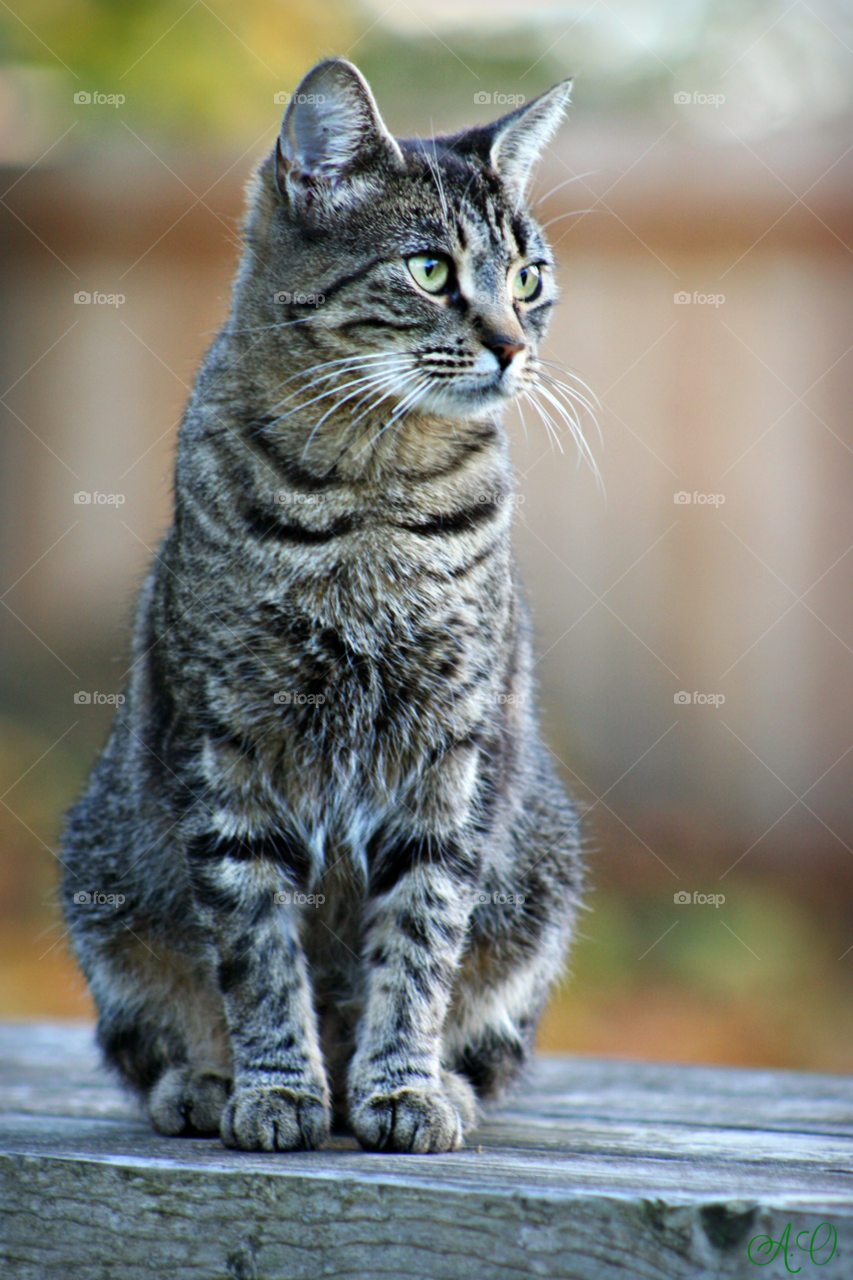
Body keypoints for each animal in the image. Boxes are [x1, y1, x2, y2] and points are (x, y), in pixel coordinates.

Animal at [59, 57, 581, 1162]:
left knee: (485, 1030)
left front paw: (403, 1086)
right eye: (429, 270)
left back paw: (431, 1083)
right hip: (105, 878)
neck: (371, 492)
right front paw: (275, 1088)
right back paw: (210, 1081)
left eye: (526, 278)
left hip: (542, 875)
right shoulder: (224, 748)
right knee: (158, 1026)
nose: (512, 345)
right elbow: (257, 951)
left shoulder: (451, 758)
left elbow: (419, 943)